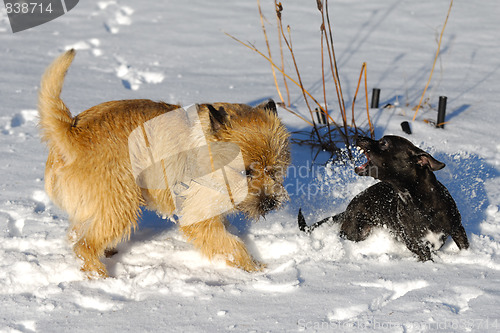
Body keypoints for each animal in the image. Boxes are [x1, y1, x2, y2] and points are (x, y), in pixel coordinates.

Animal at [39, 49, 292, 276]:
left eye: (275, 169)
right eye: (246, 172)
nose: (270, 202)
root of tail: (72, 132)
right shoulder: (198, 217)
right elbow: (232, 245)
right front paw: (254, 269)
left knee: (77, 234)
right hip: (121, 205)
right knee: (84, 246)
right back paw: (102, 277)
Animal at [300, 135, 468, 260]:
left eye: (384, 143)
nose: (359, 136)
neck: (420, 204)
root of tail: (348, 208)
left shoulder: (457, 228)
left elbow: (465, 248)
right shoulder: (416, 244)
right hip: (355, 231)